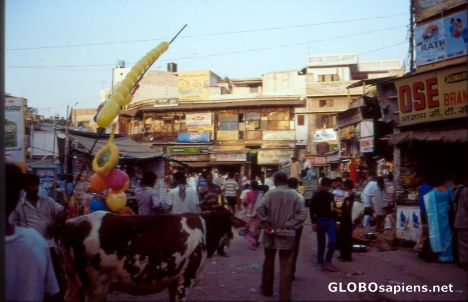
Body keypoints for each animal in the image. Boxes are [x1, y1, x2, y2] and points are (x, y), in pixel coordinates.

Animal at [56, 208, 243, 302]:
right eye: (227, 221)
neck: (206, 229)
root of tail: (71, 222)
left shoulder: (174, 282)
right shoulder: (186, 279)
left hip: (74, 280)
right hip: (97, 286)